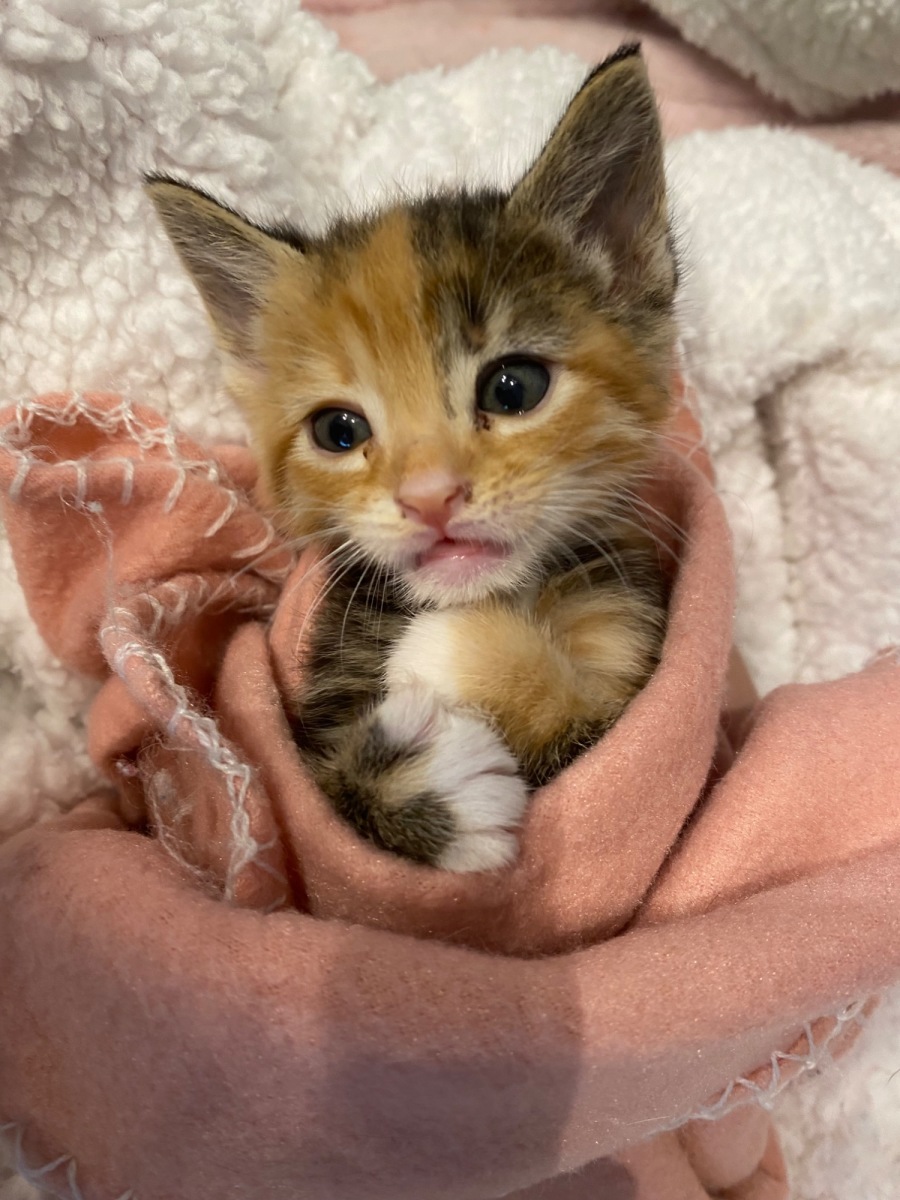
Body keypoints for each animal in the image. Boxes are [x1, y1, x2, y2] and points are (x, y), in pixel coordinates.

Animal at [147, 43, 677, 873]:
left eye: (514, 387)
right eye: (338, 430)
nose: (430, 496)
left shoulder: (632, 665)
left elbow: (599, 736)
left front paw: (444, 653)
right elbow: (320, 809)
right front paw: (436, 788)